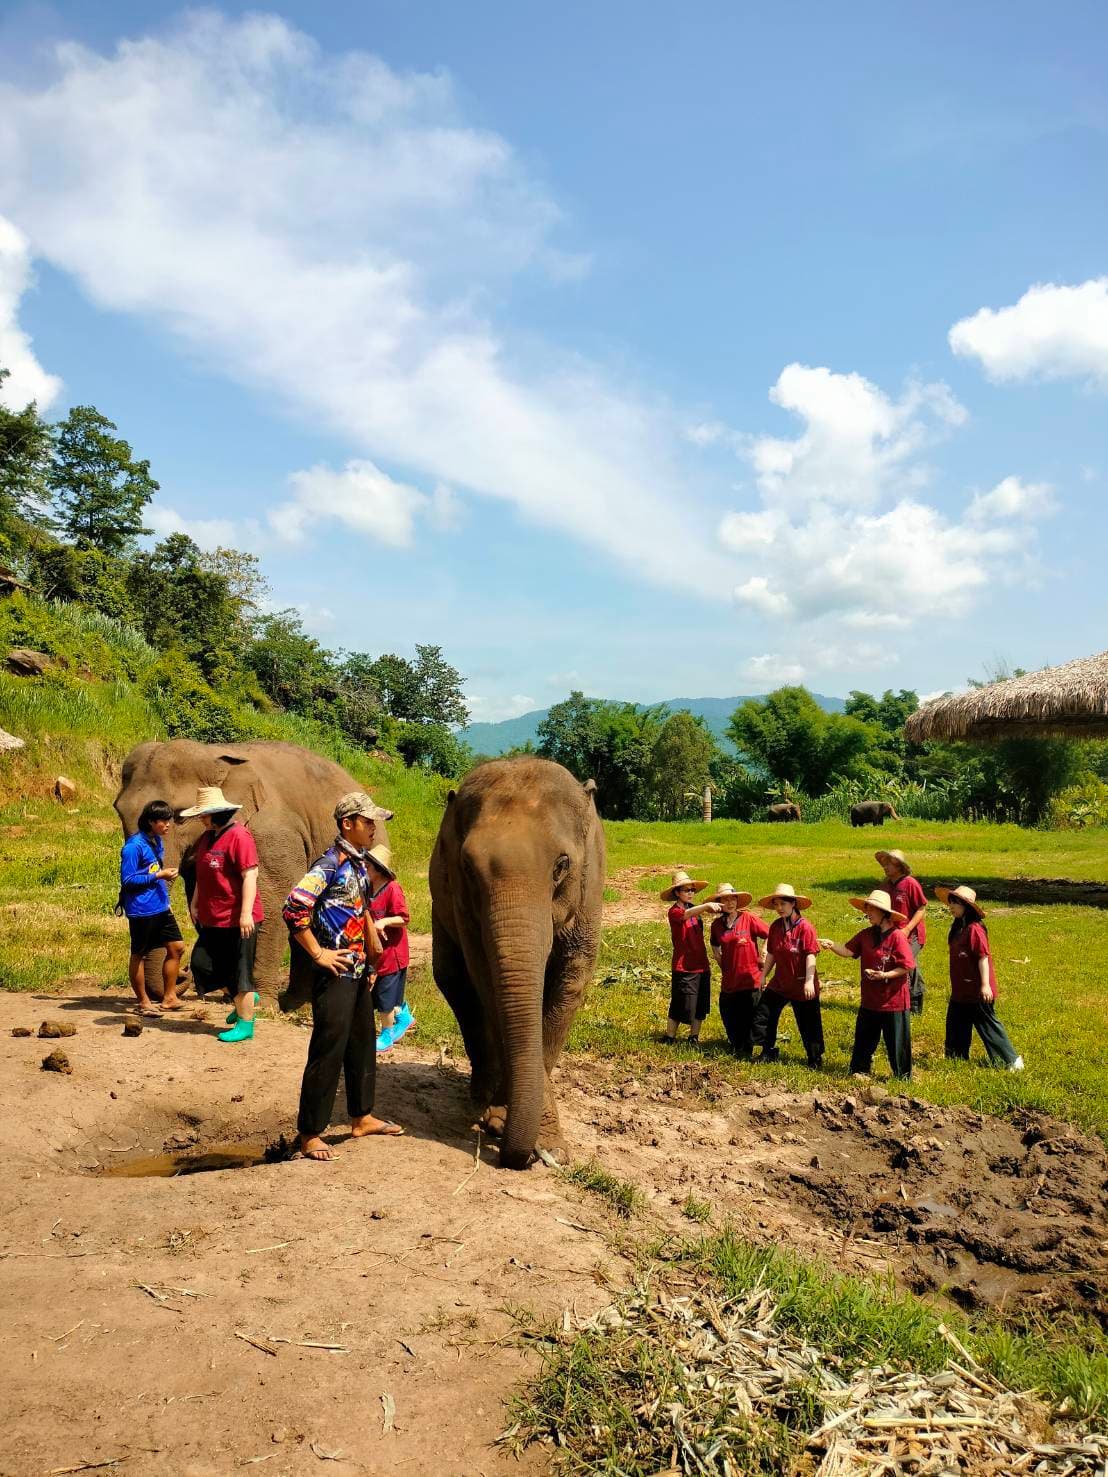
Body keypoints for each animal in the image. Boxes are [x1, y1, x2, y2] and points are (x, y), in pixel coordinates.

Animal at [114, 739, 390, 1000]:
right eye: (119, 811)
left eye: (180, 816)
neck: (214, 756)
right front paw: (234, 994)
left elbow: (273, 904)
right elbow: (205, 904)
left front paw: (258, 1002)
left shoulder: (272, 837)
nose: (183, 974)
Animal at [429, 756, 605, 1170]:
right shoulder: (463, 907)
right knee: (455, 982)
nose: (517, 1159)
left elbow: (571, 983)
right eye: (467, 867)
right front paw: (500, 1122)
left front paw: (551, 1147)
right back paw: (479, 1100)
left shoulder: (590, 895)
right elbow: (487, 983)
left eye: (561, 865)